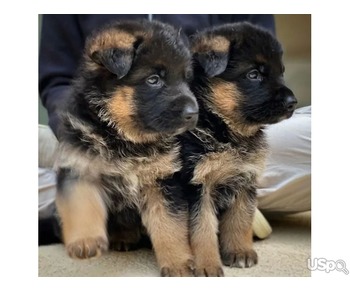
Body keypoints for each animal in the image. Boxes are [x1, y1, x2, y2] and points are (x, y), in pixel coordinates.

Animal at [54, 20, 197, 276]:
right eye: (154, 79)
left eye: (186, 78)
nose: (194, 113)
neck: (122, 136)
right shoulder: (78, 167)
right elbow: (82, 205)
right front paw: (85, 241)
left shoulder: (162, 181)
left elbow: (170, 226)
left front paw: (178, 262)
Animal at [178, 22, 298, 276]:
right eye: (253, 75)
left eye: (281, 72)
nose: (293, 102)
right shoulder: (197, 186)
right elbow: (202, 229)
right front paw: (207, 264)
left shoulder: (245, 180)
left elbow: (240, 220)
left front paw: (239, 252)